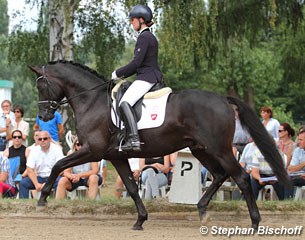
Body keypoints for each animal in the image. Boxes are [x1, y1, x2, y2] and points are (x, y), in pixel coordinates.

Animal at [29, 61, 290, 231]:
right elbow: (132, 187)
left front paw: (42, 200)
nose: (43, 115)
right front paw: (140, 220)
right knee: (219, 175)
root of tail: (222, 99)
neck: (92, 100)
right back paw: (202, 210)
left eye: (41, 87)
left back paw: (254, 223)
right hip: (201, 149)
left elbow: (58, 165)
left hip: (221, 150)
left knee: (241, 178)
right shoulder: (116, 156)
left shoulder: (93, 151)